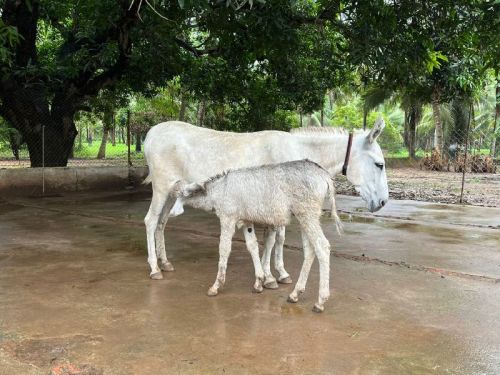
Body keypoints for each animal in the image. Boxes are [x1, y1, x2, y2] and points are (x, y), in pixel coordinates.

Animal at [174, 159, 342, 314]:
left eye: (180, 194)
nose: (172, 213)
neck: (220, 190)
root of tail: (323, 174)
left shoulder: (228, 218)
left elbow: (224, 249)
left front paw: (216, 285)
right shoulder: (246, 221)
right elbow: (252, 246)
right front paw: (259, 282)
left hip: (307, 214)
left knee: (322, 247)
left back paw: (320, 301)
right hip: (305, 217)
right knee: (310, 251)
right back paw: (295, 294)